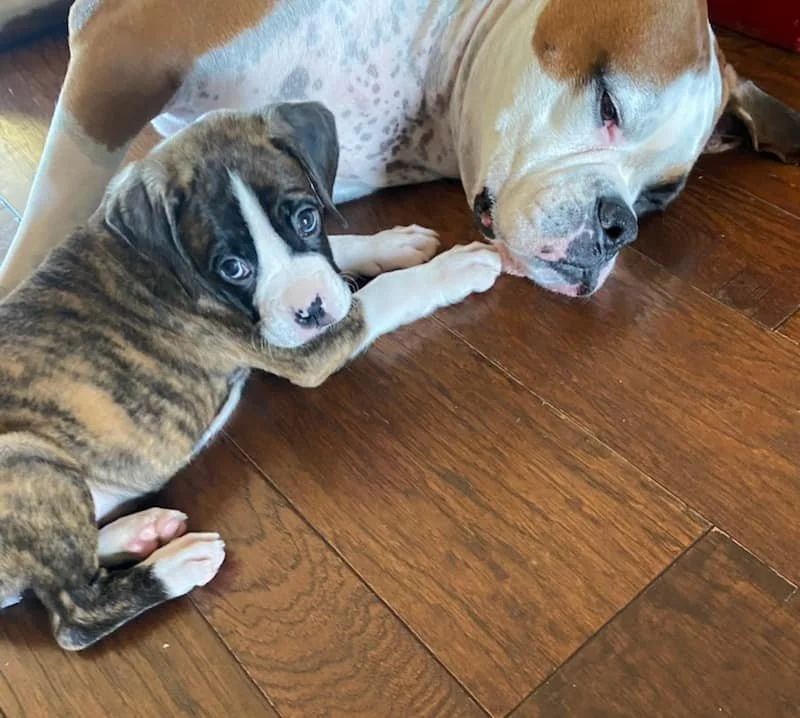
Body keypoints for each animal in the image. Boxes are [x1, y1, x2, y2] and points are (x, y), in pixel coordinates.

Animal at [0, 101, 501, 650]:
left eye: (307, 217)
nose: (311, 309)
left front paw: (391, 242)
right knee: (73, 615)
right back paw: (175, 565)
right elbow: (387, 293)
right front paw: (455, 268)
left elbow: (339, 250)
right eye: (233, 267)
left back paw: (142, 532)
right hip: (29, 463)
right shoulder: (306, 351)